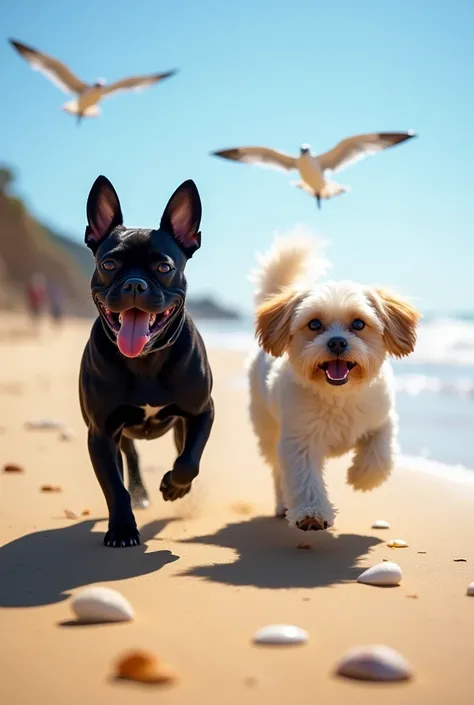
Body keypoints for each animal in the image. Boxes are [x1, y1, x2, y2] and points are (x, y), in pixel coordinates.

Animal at [79, 175, 215, 544]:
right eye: (109, 264)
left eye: (164, 267)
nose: (135, 284)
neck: (144, 360)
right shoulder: (100, 433)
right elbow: (114, 486)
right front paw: (122, 529)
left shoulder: (201, 412)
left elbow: (190, 460)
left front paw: (174, 486)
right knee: (130, 455)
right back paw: (140, 494)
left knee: (182, 449)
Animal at [246, 234, 420, 532]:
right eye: (314, 324)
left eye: (359, 324)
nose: (337, 342)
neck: (340, 396)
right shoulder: (299, 441)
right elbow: (304, 479)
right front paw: (311, 514)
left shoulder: (382, 419)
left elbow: (380, 454)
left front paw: (362, 477)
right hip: (267, 429)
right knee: (278, 471)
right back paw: (283, 505)